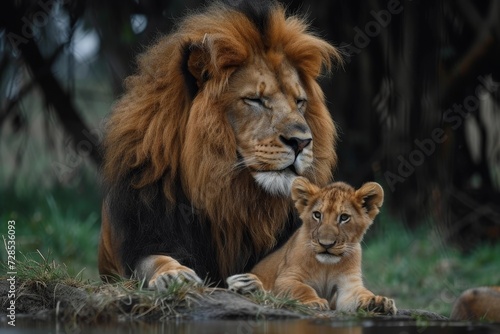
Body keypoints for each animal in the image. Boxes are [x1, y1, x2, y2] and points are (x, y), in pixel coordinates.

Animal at [97, 0, 342, 288]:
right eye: (255, 100)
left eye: (300, 102)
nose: (301, 142)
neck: (229, 194)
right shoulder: (143, 241)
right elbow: (154, 260)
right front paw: (174, 275)